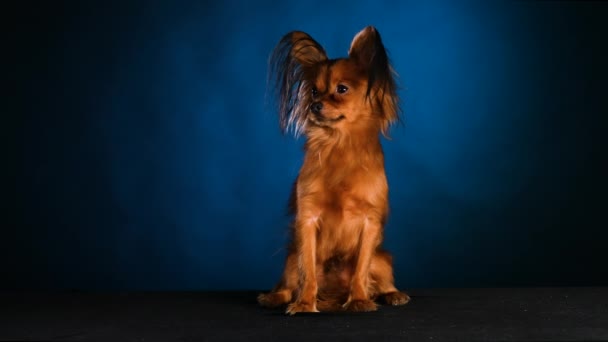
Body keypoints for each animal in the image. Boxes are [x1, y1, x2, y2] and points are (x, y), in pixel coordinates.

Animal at [256, 26, 408, 316]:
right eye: (314, 91)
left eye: (342, 89)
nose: (314, 105)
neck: (339, 144)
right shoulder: (307, 220)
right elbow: (308, 272)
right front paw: (305, 303)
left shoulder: (369, 223)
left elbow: (361, 270)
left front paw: (359, 300)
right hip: (290, 259)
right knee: (289, 282)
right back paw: (275, 297)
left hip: (382, 260)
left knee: (380, 278)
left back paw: (392, 294)